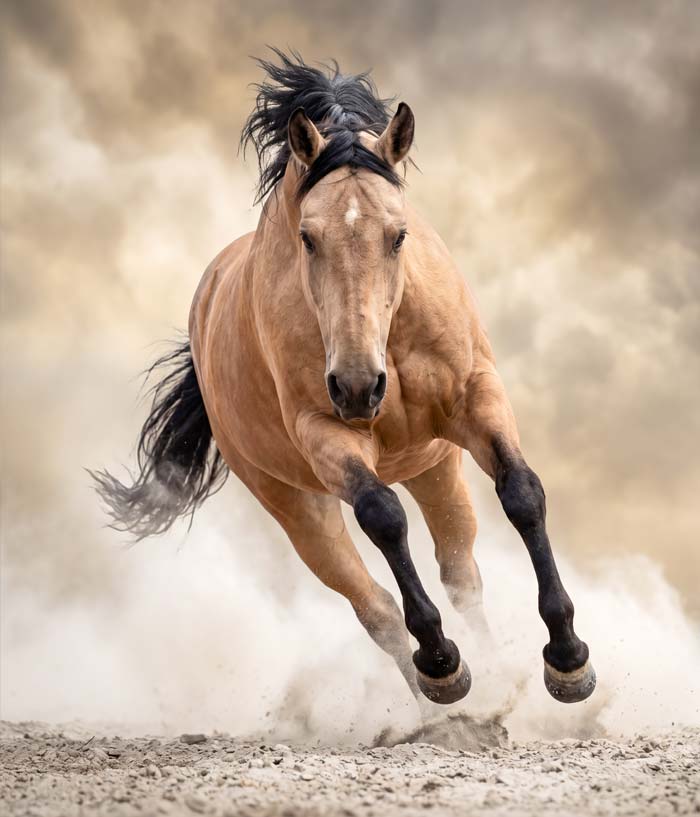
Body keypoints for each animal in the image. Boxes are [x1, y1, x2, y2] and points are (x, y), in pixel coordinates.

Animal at [93, 50, 595, 709]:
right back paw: (450, 703)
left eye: (399, 233)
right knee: (374, 607)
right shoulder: (326, 434)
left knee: (460, 569)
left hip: (435, 465)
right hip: (296, 505)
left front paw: (568, 660)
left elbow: (523, 493)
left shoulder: (477, 396)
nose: (360, 387)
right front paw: (443, 664)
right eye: (308, 238)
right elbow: (383, 517)